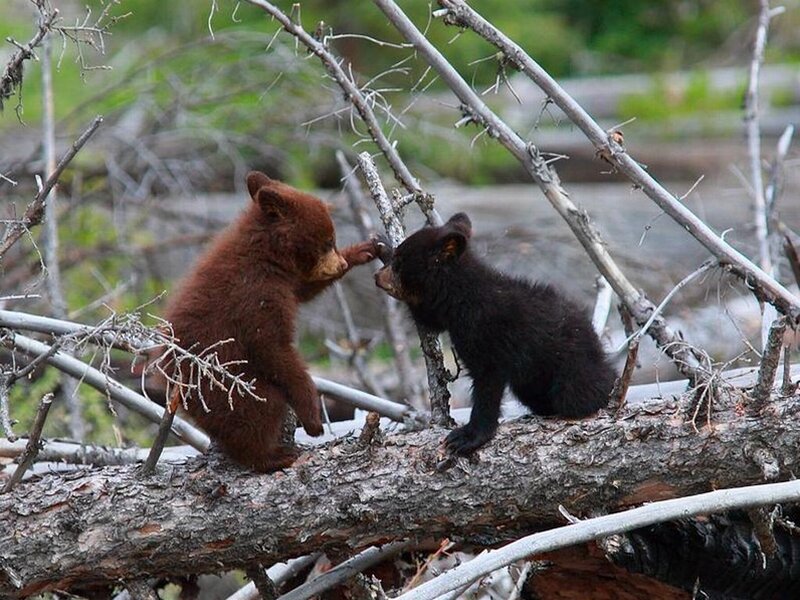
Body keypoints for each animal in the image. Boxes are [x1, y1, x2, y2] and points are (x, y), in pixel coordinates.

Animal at [162, 171, 378, 472]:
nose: (341, 265)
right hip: (225, 387)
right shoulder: (256, 295)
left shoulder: (285, 282)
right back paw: (272, 456)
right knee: (260, 410)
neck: (264, 253)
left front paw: (364, 250)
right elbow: (271, 347)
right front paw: (312, 419)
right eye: (327, 240)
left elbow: (303, 288)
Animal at [374, 212, 615, 456]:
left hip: (572, 370)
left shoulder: (489, 334)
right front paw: (381, 246)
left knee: (579, 394)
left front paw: (467, 437)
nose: (377, 276)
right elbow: (428, 319)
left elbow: (488, 383)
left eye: (400, 264)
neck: (463, 297)